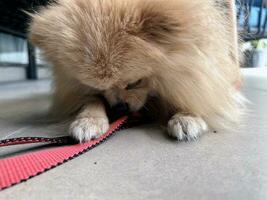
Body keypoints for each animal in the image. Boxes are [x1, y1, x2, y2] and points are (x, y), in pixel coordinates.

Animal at [28, 0, 246, 142]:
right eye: (98, 88)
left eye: (134, 83)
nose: (119, 108)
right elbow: (91, 100)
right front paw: (89, 120)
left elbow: (194, 91)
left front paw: (187, 116)